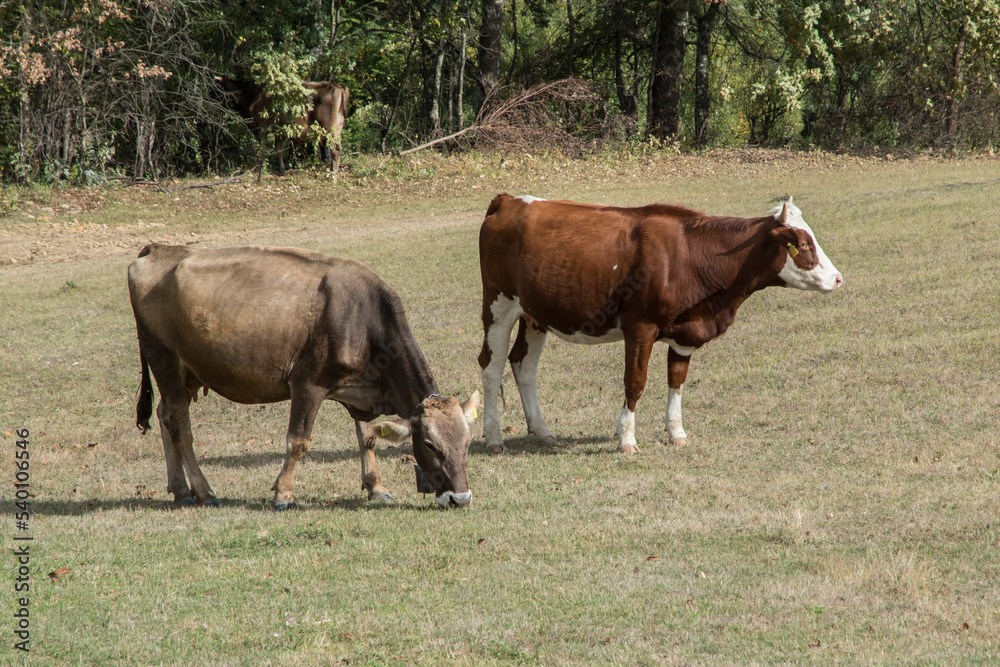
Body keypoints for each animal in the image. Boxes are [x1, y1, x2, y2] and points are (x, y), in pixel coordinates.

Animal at [128, 244, 479, 509]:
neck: (365, 321)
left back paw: (180, 490)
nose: (460, 498)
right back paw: (203, 492)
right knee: (180, 426)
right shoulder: (308, 384)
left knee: (164, 414)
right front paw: (283, 495)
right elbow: (298, 442)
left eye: (467, 443)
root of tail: (160, 248)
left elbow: (367, 438)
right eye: (430, 445)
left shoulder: (361, 392)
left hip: (186, 372)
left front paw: (376, 488)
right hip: (164, 359)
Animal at [215, 76, 349, 173]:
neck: (252, 93)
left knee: (335, 148)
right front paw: (281, 168)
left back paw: (333, 171)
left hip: (329, 128)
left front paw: (262, 167)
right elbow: (278, 148)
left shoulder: (262, 127)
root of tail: (336, 85)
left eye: (215, 89)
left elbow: (263, 149)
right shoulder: (280, 129)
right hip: (338, 128)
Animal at [477, 194, 843, 454]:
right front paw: (626, 438)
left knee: (523, 364)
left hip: (534, 313)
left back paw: (541, 431)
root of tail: (508, 200)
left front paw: (676, 432)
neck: (692, 256)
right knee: (491, 365)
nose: (838, 278)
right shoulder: (640, 327)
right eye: (804, 244)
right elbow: (635, 382)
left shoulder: (686, 332)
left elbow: (677, 380)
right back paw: (494, 438)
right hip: (499, 305)